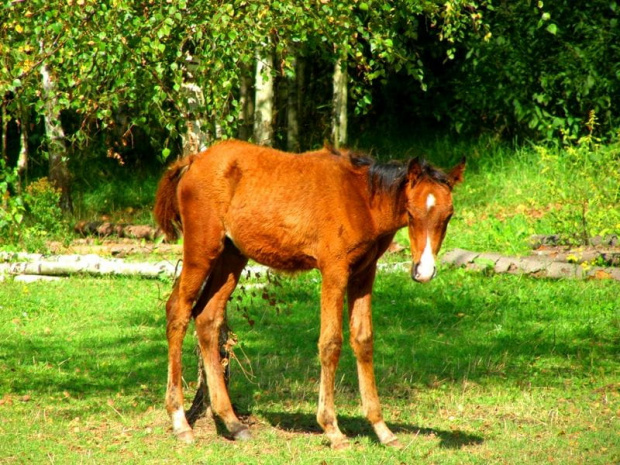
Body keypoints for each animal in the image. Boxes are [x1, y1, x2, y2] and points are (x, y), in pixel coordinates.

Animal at [155, 140, 464, 448]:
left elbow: (363, 339)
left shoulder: (364, 273)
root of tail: (193, 161)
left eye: (448, 215)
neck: (361, 199)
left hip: (232, 256)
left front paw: (382, 429)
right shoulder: (334, 270)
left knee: (207, 317)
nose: (424, 271)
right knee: (178, 310)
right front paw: (332, 429)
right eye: (411, 213)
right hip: (202, 248)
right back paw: (181, 422)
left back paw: (233, 423)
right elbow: (331, 343)